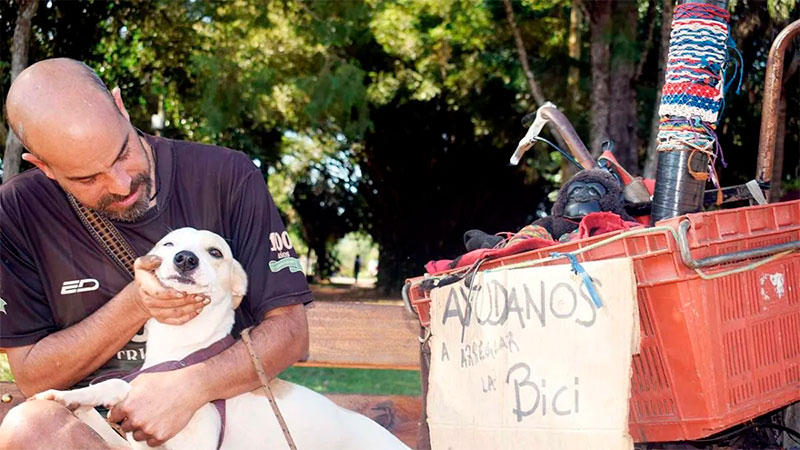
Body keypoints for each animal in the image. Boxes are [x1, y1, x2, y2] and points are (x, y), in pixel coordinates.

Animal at [32, 229, 410, 450]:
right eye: (169, 244)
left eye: (215, 252)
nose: (185, 259)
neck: (182, 348)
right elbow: (113, 387)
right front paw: (70, 398)